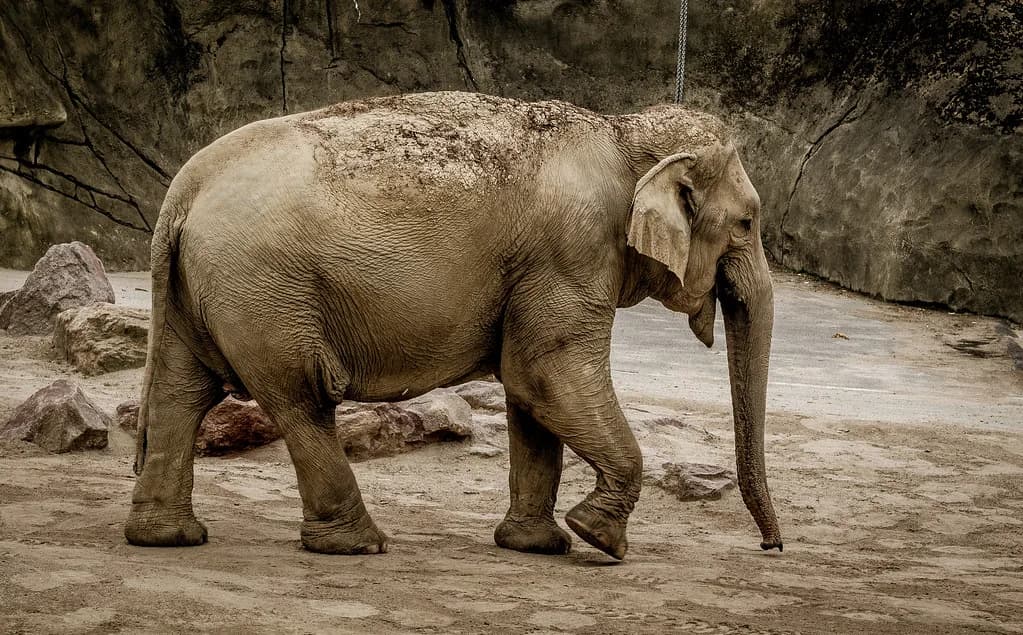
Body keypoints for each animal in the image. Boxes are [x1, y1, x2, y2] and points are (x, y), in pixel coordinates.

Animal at [124, 91, 782, 560]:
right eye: (748, 223)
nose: (771, 547)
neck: (626, 132)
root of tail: (184, 187)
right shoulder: (572, 250)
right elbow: (549, 376)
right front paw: (597, 537)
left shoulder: (542, 267)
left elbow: (529, 392)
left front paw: (538, 546)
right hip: (265, 290)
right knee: (302, 397)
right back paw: (360, 545)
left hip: (203, 288)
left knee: (182, 394)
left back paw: (168, 537)